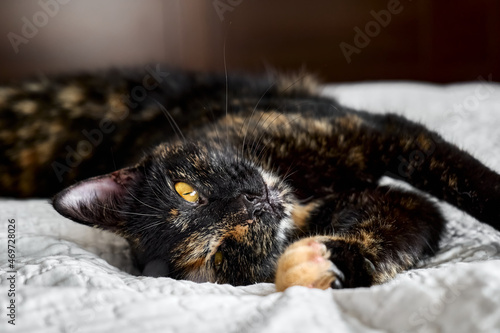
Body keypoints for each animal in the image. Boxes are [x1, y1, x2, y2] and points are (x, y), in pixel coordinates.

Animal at [0, 66, 500, 290]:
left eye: (187, 192)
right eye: (221, 251)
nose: (251, 204)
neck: (302, 193)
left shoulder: (382, 133)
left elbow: (470, 180)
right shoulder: (410, 207)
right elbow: (396, 233)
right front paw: (322, 264)